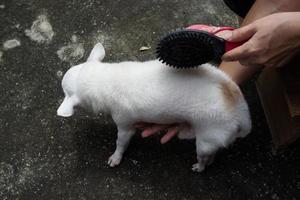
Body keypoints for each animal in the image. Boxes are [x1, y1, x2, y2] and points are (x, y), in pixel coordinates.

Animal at [56, 43, 251, 172]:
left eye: (64, 92)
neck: (104, 79)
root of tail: (239, 108)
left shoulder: (125, 125)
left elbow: (121, 142)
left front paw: (116, 157)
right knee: (214, 152)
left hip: (206, 140)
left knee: (205, 155)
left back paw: (200, 166)